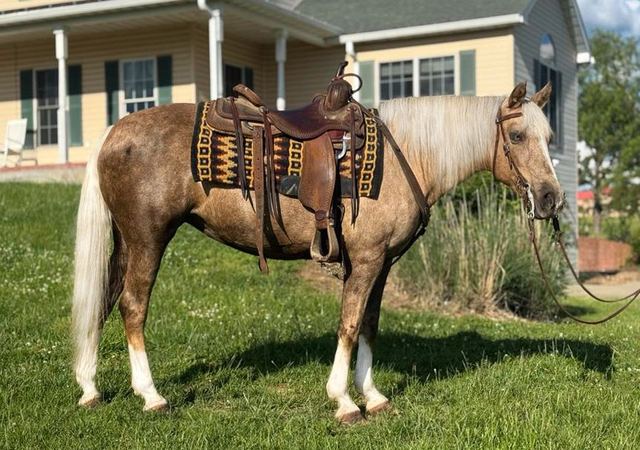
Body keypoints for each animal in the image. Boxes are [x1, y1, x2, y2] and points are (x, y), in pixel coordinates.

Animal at [72, 81, 563, 423]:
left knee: (103, 301)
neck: (406, 156)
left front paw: (373, 396)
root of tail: (114, 130)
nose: (550, 199)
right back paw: (151, 396)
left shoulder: (382, 264)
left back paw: (90, 388)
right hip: (148, 238)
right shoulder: (365, 261)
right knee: (133, 306)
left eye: (550, 136)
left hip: (125, 242)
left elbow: (369, 327)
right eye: (517, 135)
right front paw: (344, 401)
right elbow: (349, 325)